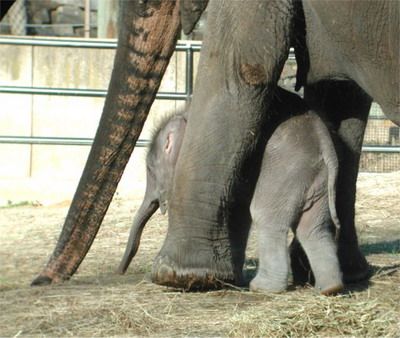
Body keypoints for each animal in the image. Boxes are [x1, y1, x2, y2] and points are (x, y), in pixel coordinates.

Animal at [119, 89, 344, 294]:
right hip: (316, 180)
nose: (120, 271)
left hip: (283, 173)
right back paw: (328, 289)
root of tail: (325, 143)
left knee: (265, 217)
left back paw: (261, 288)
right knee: (313, 228)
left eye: (150, 169)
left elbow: (238, 213)